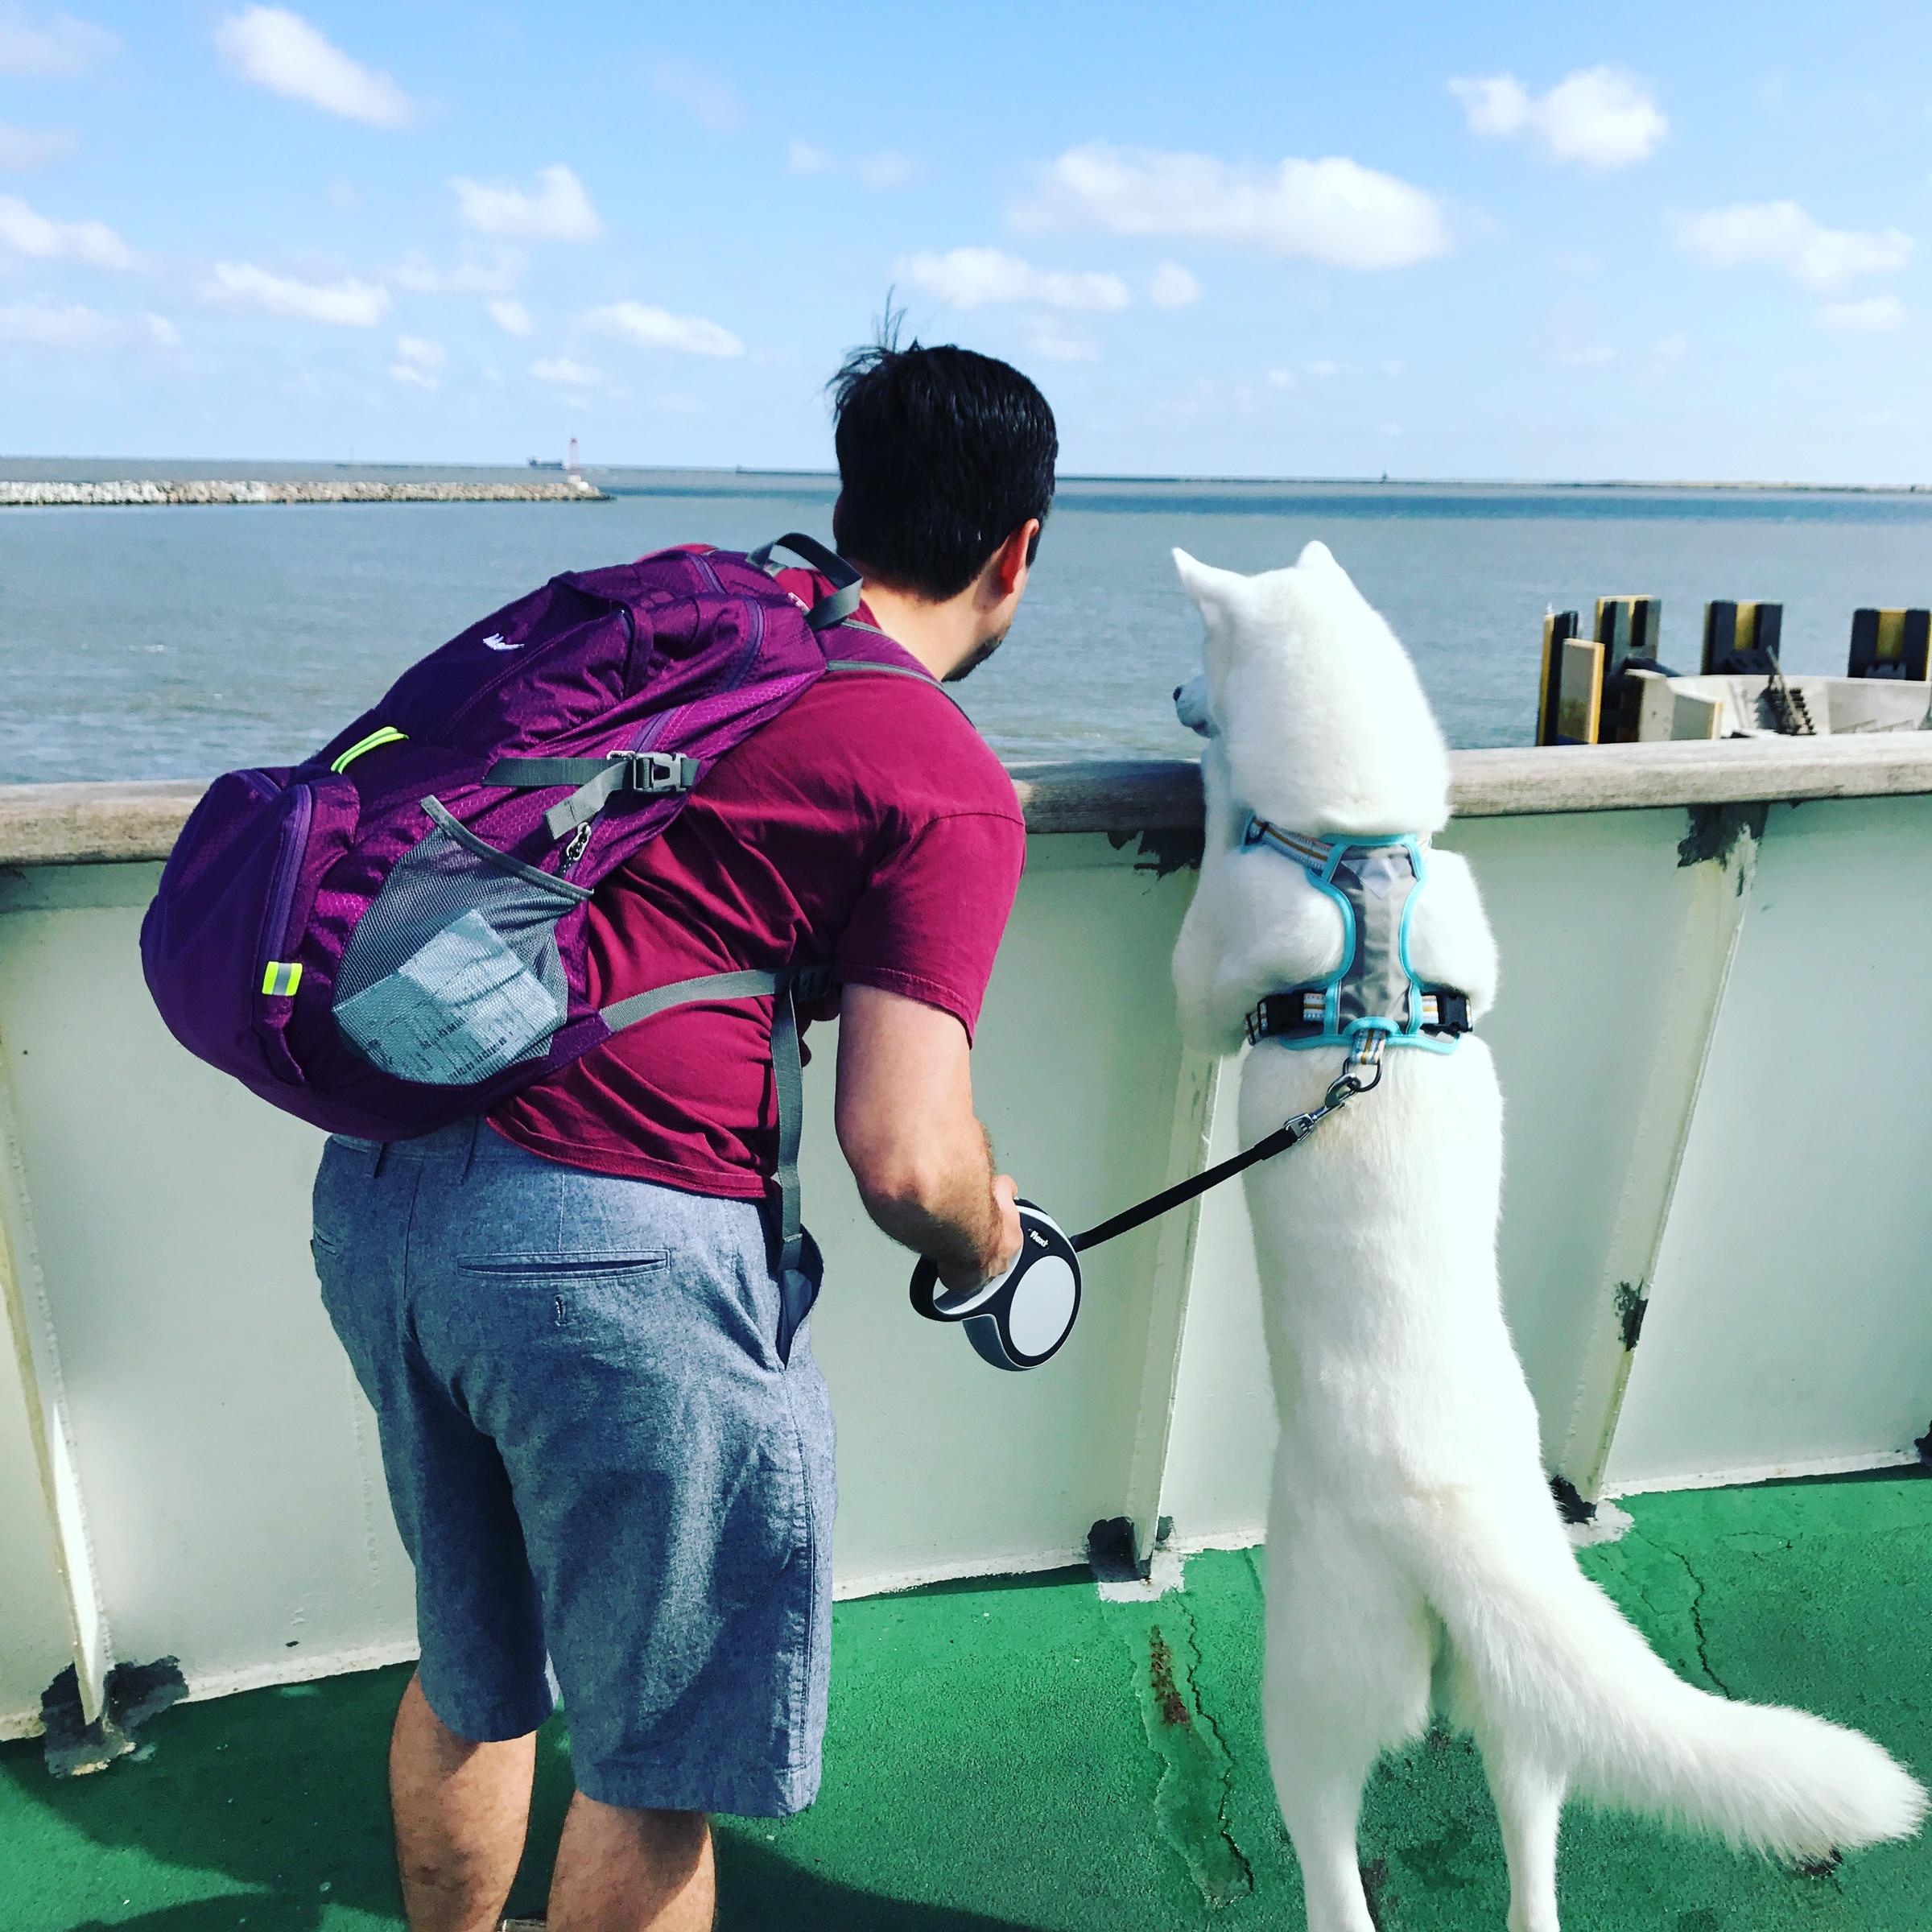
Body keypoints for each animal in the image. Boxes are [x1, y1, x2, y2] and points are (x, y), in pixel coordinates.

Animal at [1159, 544, 1916, 1932]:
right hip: (1521, 1719)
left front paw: (1218, 778)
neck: (1362, 846)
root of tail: (1456, 1524)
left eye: (1201, 650)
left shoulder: (1214, 960)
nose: (1180, 697)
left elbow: (1206, 933)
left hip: (1310, 1688)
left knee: (1334, 1870)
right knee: (1533, 1867)